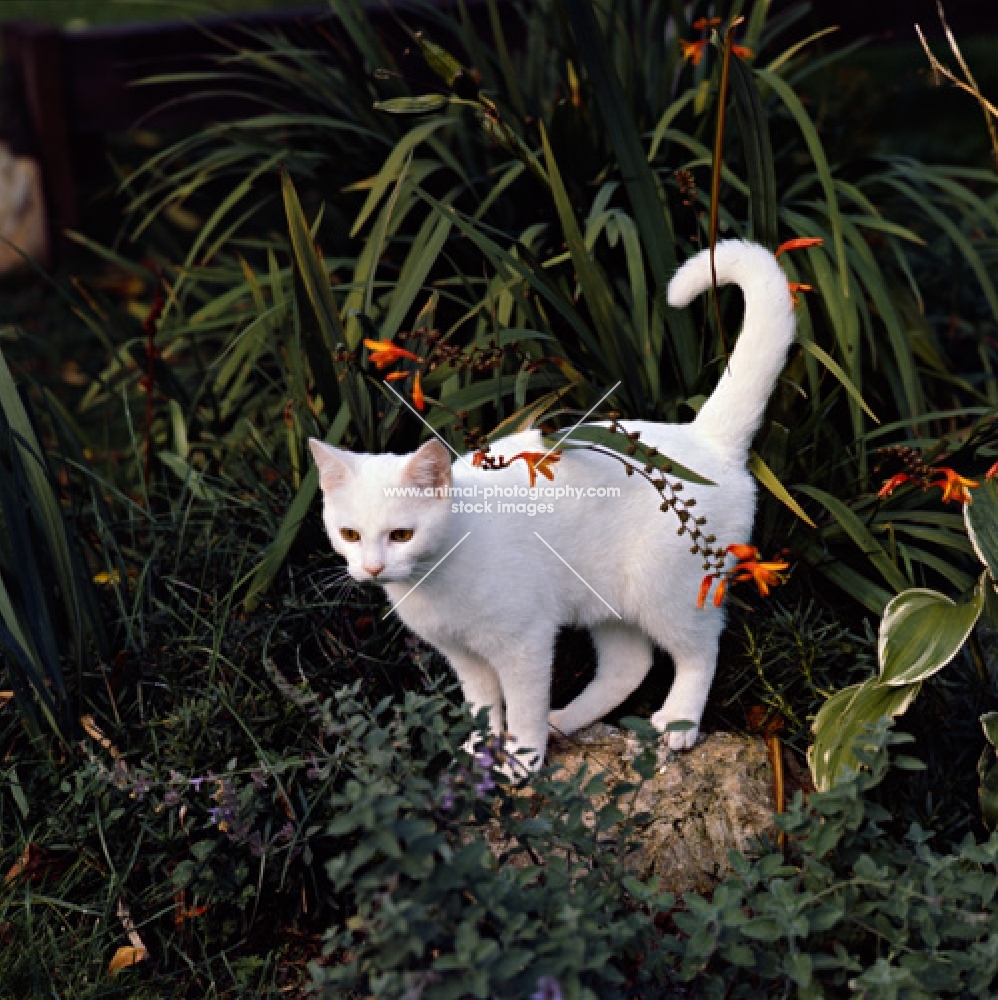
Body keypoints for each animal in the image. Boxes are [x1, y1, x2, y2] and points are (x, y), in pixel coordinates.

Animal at [312, 240, 796, 772]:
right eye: (350, 534)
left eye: (401, 534)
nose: (373, 568)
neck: (434, 583)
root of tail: (704, 440)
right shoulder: (465, 657)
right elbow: (484, 705)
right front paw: (483, 748)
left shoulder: (525, 643)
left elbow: (522, 705)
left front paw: (522, 758)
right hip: (607, 604)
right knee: (630, 666)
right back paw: (565, 720)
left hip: (667, 593)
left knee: (701, 649)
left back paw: (677, 722)